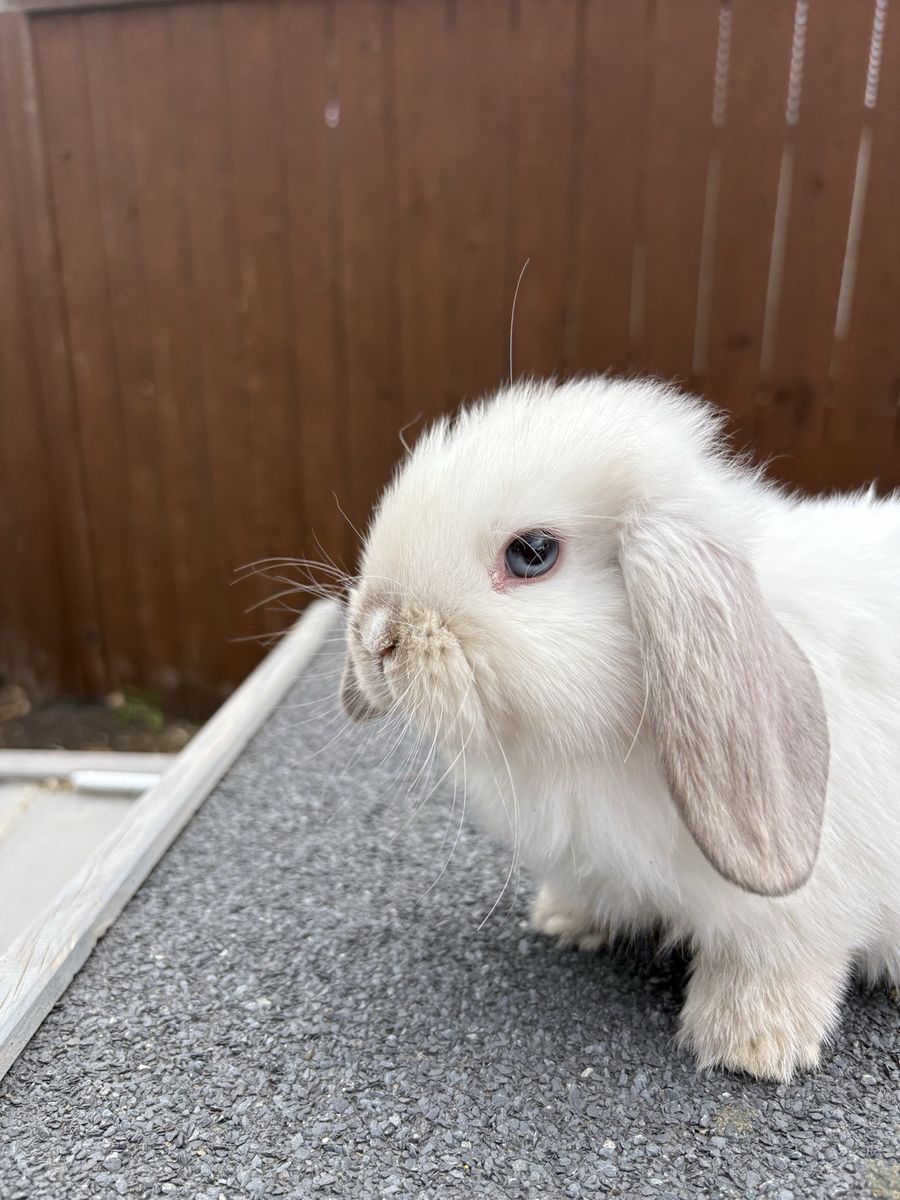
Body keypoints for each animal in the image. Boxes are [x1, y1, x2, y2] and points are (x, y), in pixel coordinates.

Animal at [339, 375, 900, 1081]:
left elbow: (771, 965)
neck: (602, 746)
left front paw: (748, 1044)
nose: (376, 637)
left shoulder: (795, 911)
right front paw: (561, 920)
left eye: (532, 554)